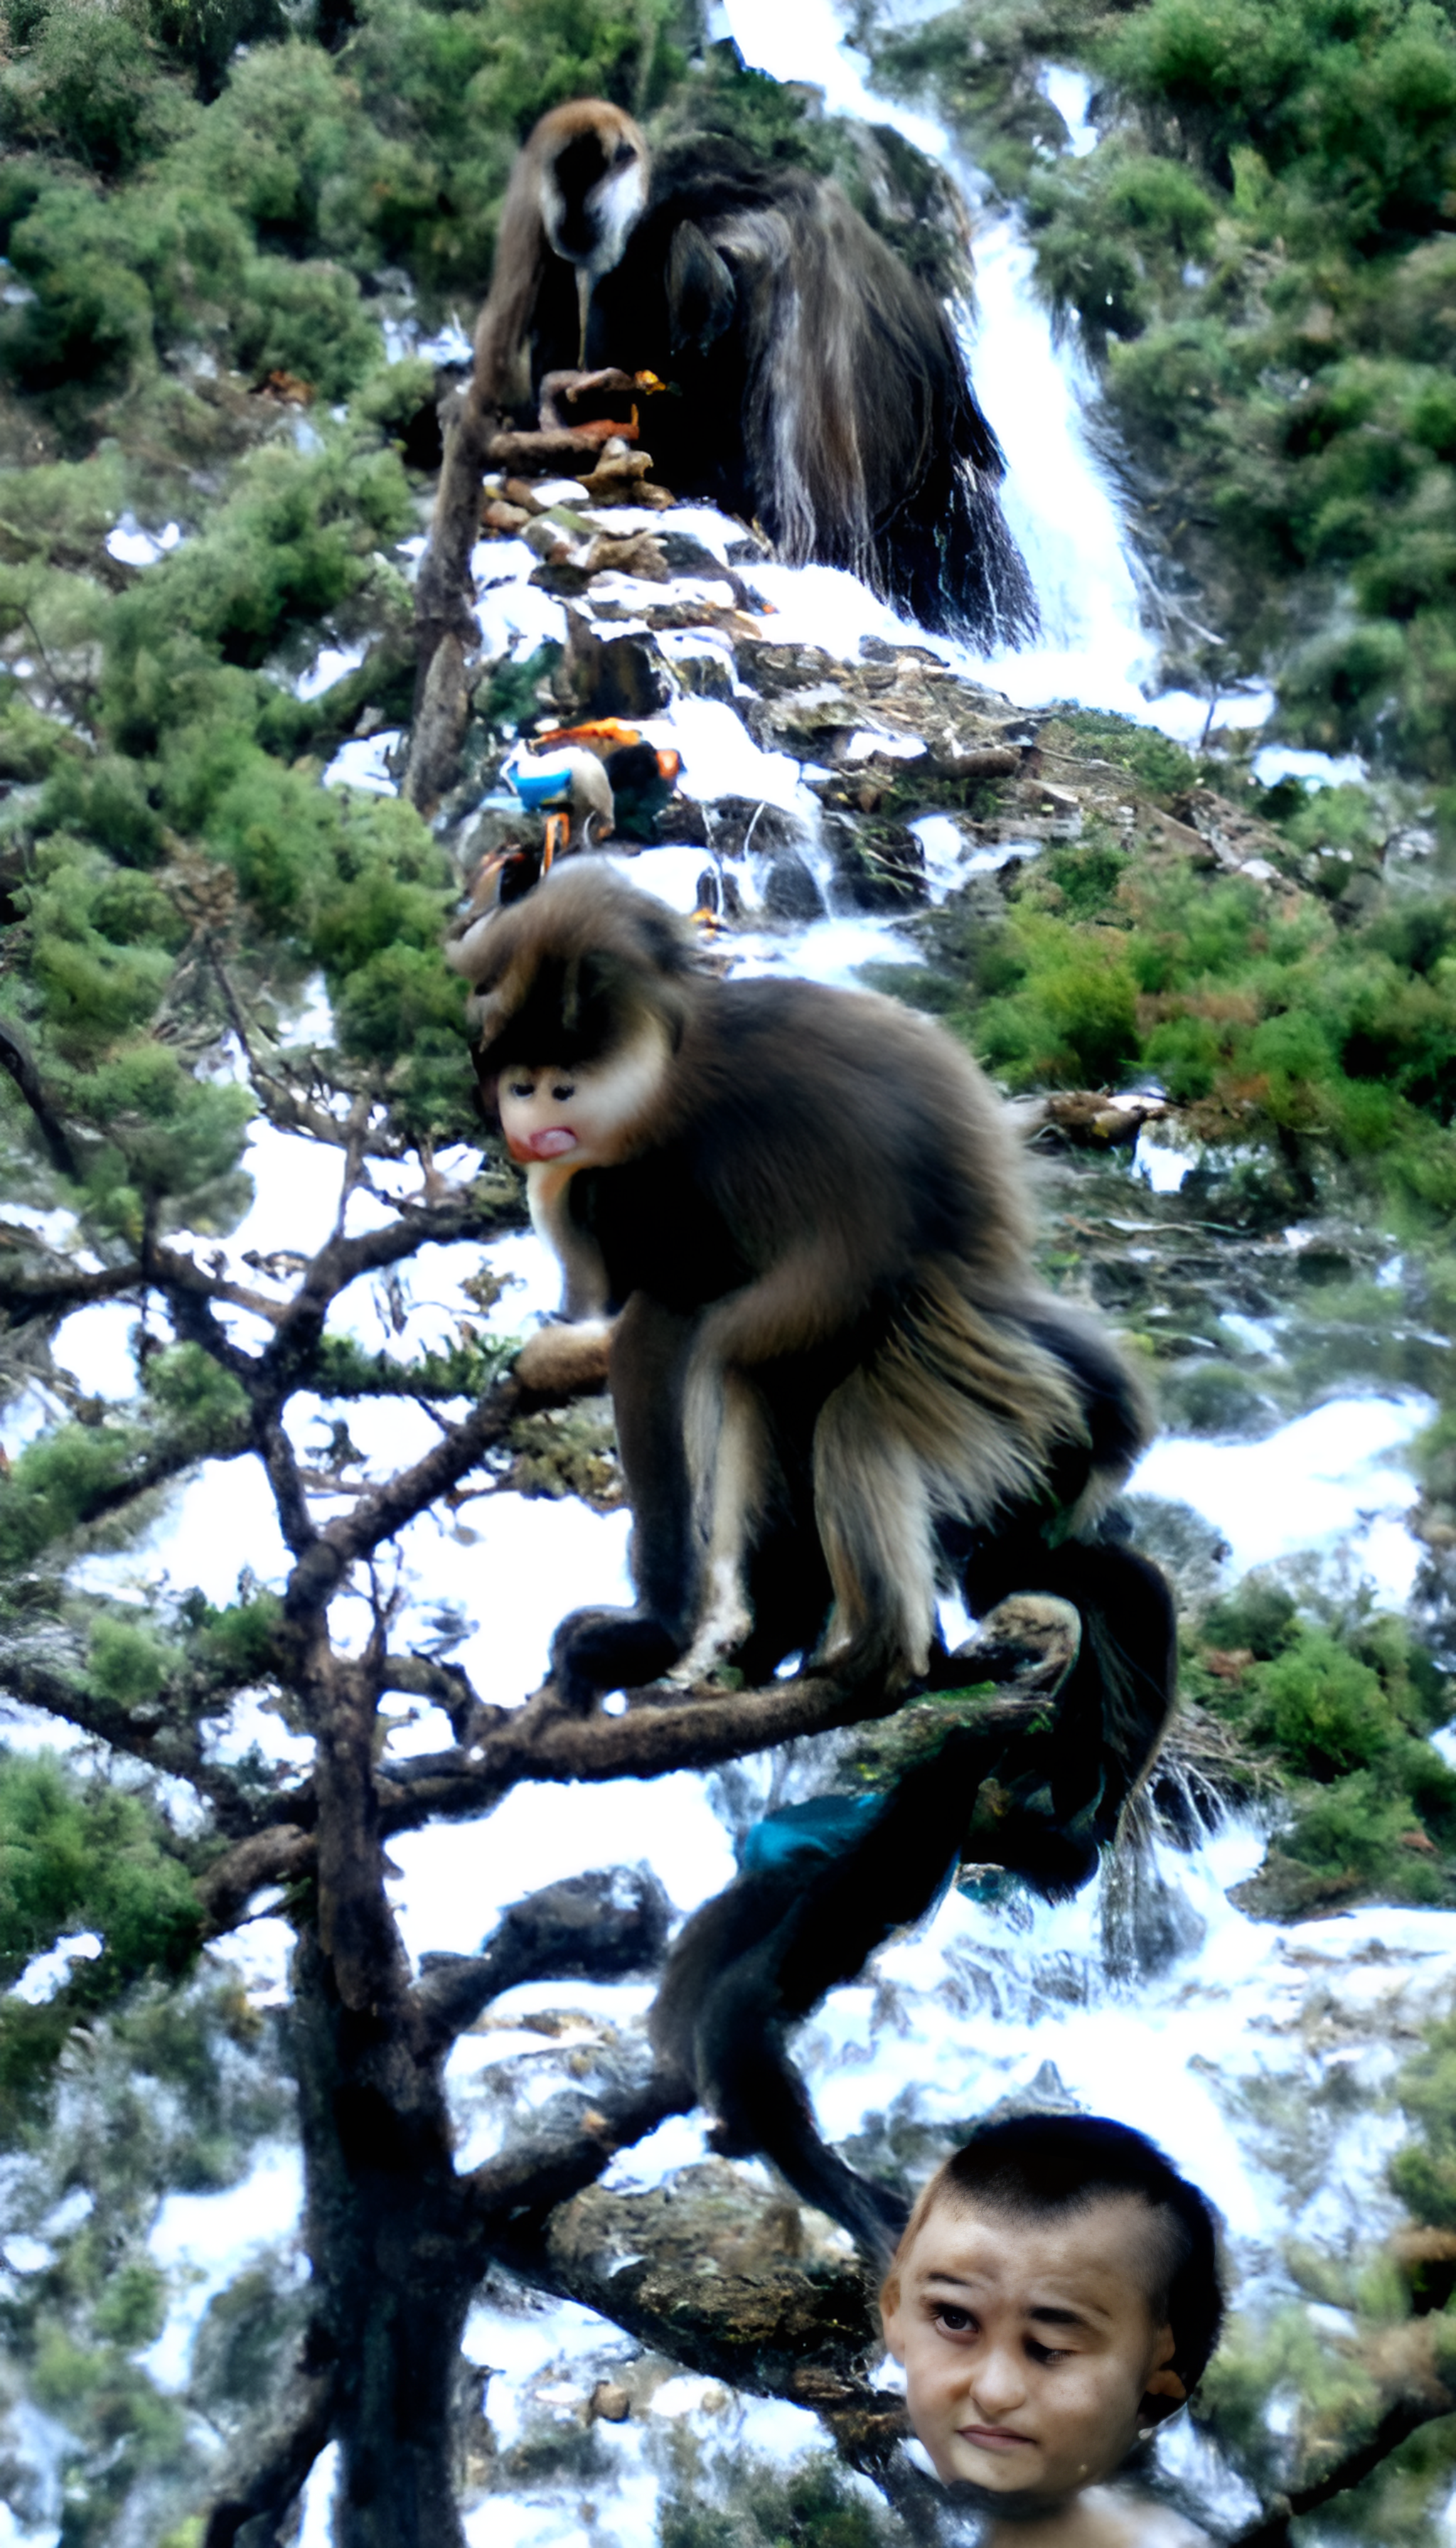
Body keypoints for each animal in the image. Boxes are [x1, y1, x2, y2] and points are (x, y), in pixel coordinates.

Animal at [454, 861, 1172, 1733]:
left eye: (560, 1088)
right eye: (520, 1085)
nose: (531, 1126)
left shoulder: (658, 1179)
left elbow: (664, 1325)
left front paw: (653, 1634)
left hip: (907, 1341)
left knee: (767, 1375)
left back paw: (841, 1652)